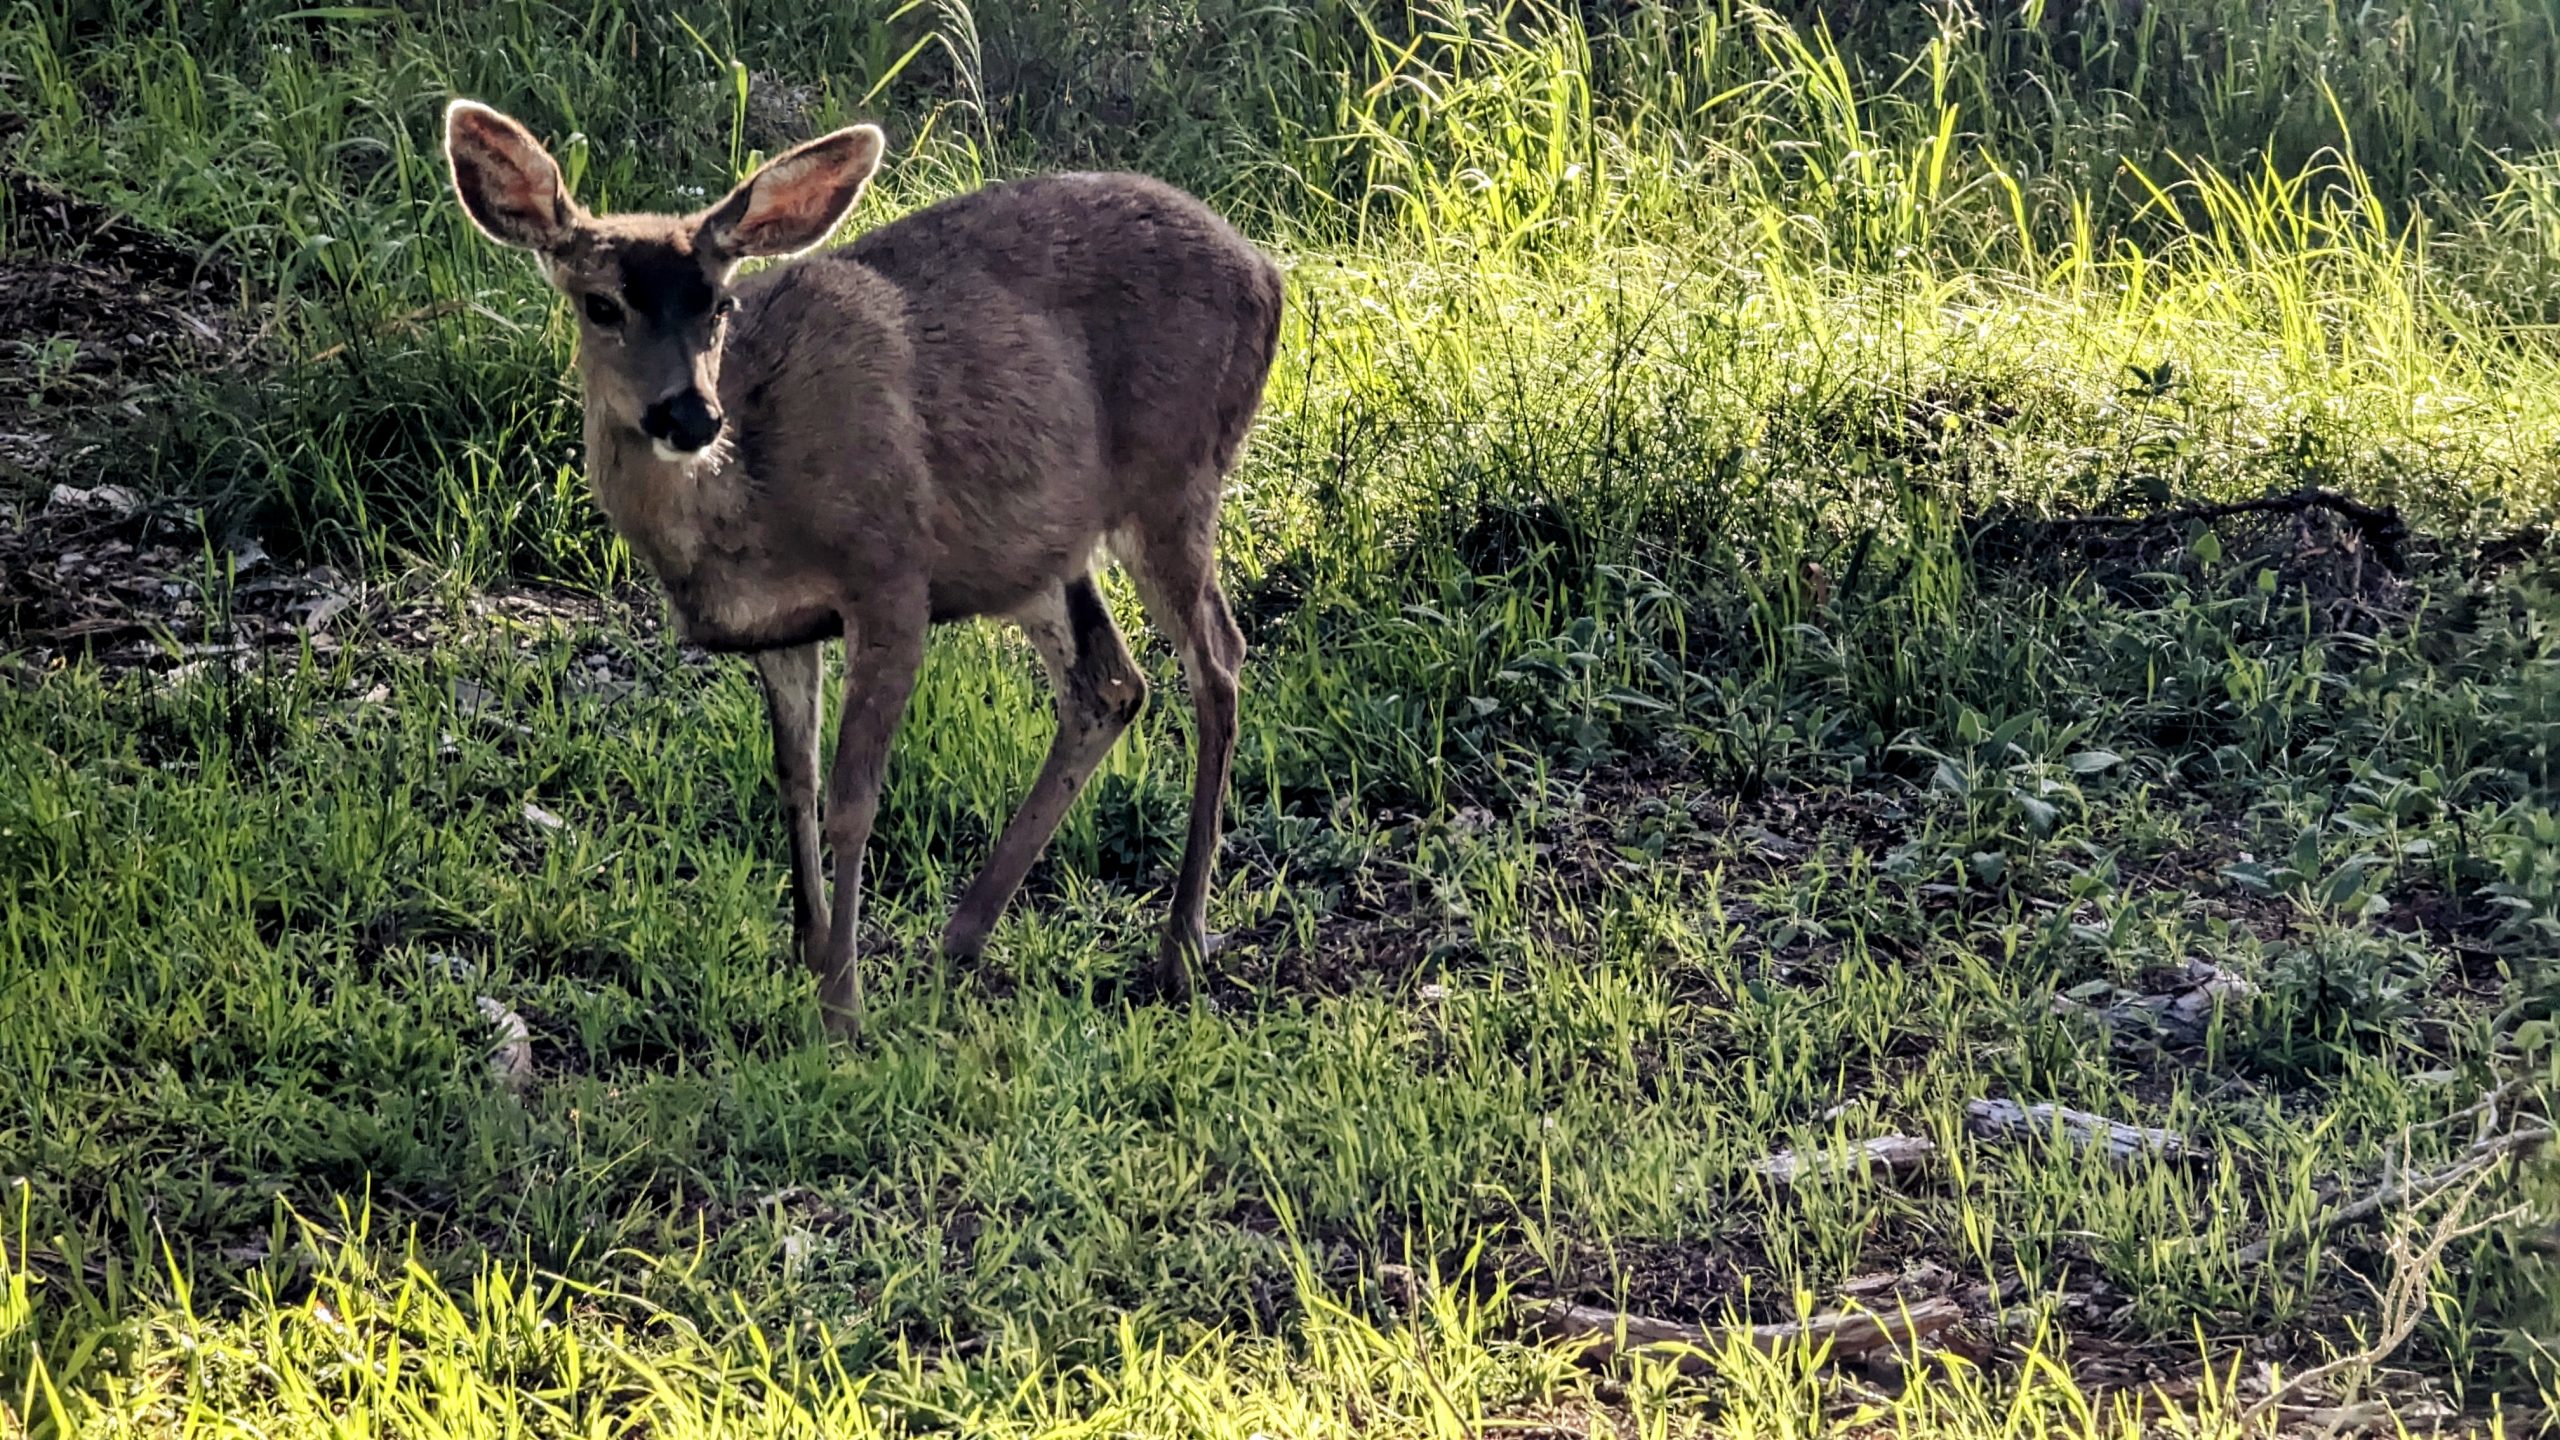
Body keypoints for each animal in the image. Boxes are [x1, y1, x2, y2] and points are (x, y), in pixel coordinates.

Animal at [442, 100, 1282, 1036]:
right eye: (600, 305)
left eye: (720, 305)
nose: (692, 416)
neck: (748, 506)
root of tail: (1269, 274)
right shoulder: (778, 628)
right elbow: (795, 782)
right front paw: (806, 954)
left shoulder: (891, 576)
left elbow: (853, 800)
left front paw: (841, 1001)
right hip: (1036, 550)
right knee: (1110, 683)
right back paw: (962, 935)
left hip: (1176, 476)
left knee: (1218, 662)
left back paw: (1179, 945)